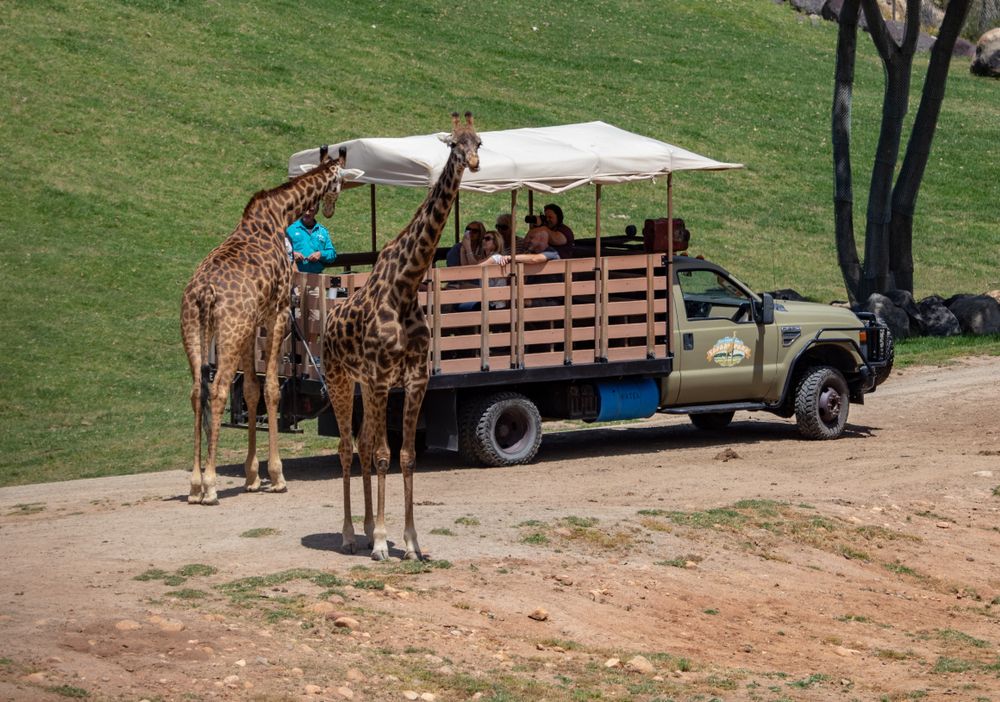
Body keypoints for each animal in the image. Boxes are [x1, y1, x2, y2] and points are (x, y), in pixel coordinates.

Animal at [180, 147, 347, 505]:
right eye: (340, 181)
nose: (328, 209)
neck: (279, 214)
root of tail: (204, 293)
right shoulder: (278, 312)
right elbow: (271, 389)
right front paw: (277, 475)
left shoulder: (252, 325)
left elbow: (251, 390)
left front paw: (253, 477)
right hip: (228, 332)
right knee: (216, 391)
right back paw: (210, 486)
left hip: (194, 331)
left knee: (197, 392)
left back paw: (195, 486)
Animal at [323, 112, 481, 560]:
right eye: (454, 144)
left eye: (479, 141)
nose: (474, 162)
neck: (407, 286)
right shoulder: (380, 378)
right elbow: (382, 456)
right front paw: (380, 543)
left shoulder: (413, 379)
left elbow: (406, 457)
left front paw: (410, 542)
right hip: (340, 381)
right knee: (347, 448)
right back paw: (349, 535)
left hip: (364, 386)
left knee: (361, 442)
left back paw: (365, 528)